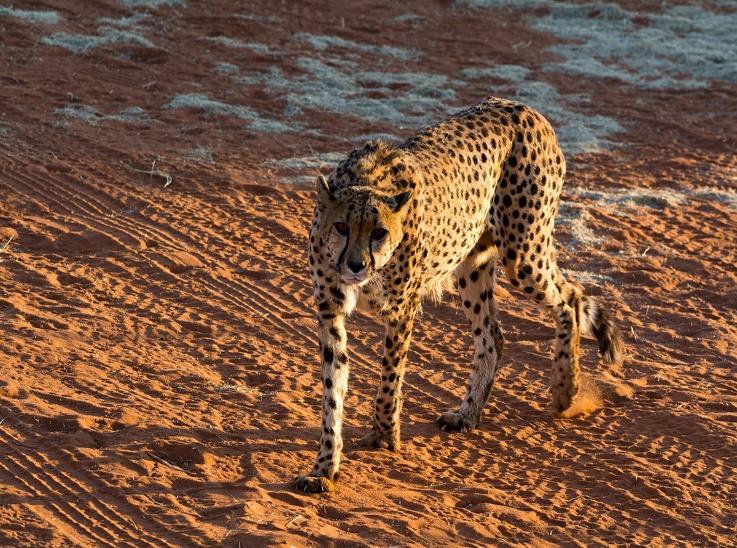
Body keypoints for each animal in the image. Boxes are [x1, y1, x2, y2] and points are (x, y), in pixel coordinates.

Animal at [294, 96, 620, 494]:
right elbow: (332, 390)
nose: (356, 265)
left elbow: (389, 379)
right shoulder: (330, 311)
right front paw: (325, 467)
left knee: (570, 298)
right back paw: (468, 413)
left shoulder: (402, 310)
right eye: (341, 226)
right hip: (473, 265)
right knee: (493, 337)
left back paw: (564, 389)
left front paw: (384, 435)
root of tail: (524, 108)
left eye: (379, 233)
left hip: (523, 254)